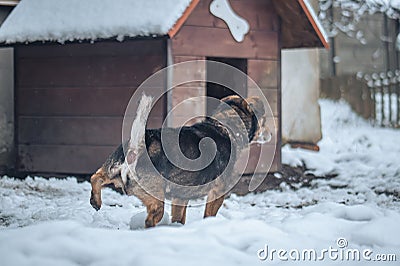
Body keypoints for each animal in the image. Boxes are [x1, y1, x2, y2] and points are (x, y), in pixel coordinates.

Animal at [89, 94, 270, 228]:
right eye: (264, 120)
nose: (271, 134)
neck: (224, 127)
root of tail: (136, 147)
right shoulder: (217, 193)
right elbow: (208, 215)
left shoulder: (180, 198)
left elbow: (178, 218)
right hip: (156, 201)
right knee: (150, 220)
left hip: (111, 170)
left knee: (95, 177)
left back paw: (96, 201)